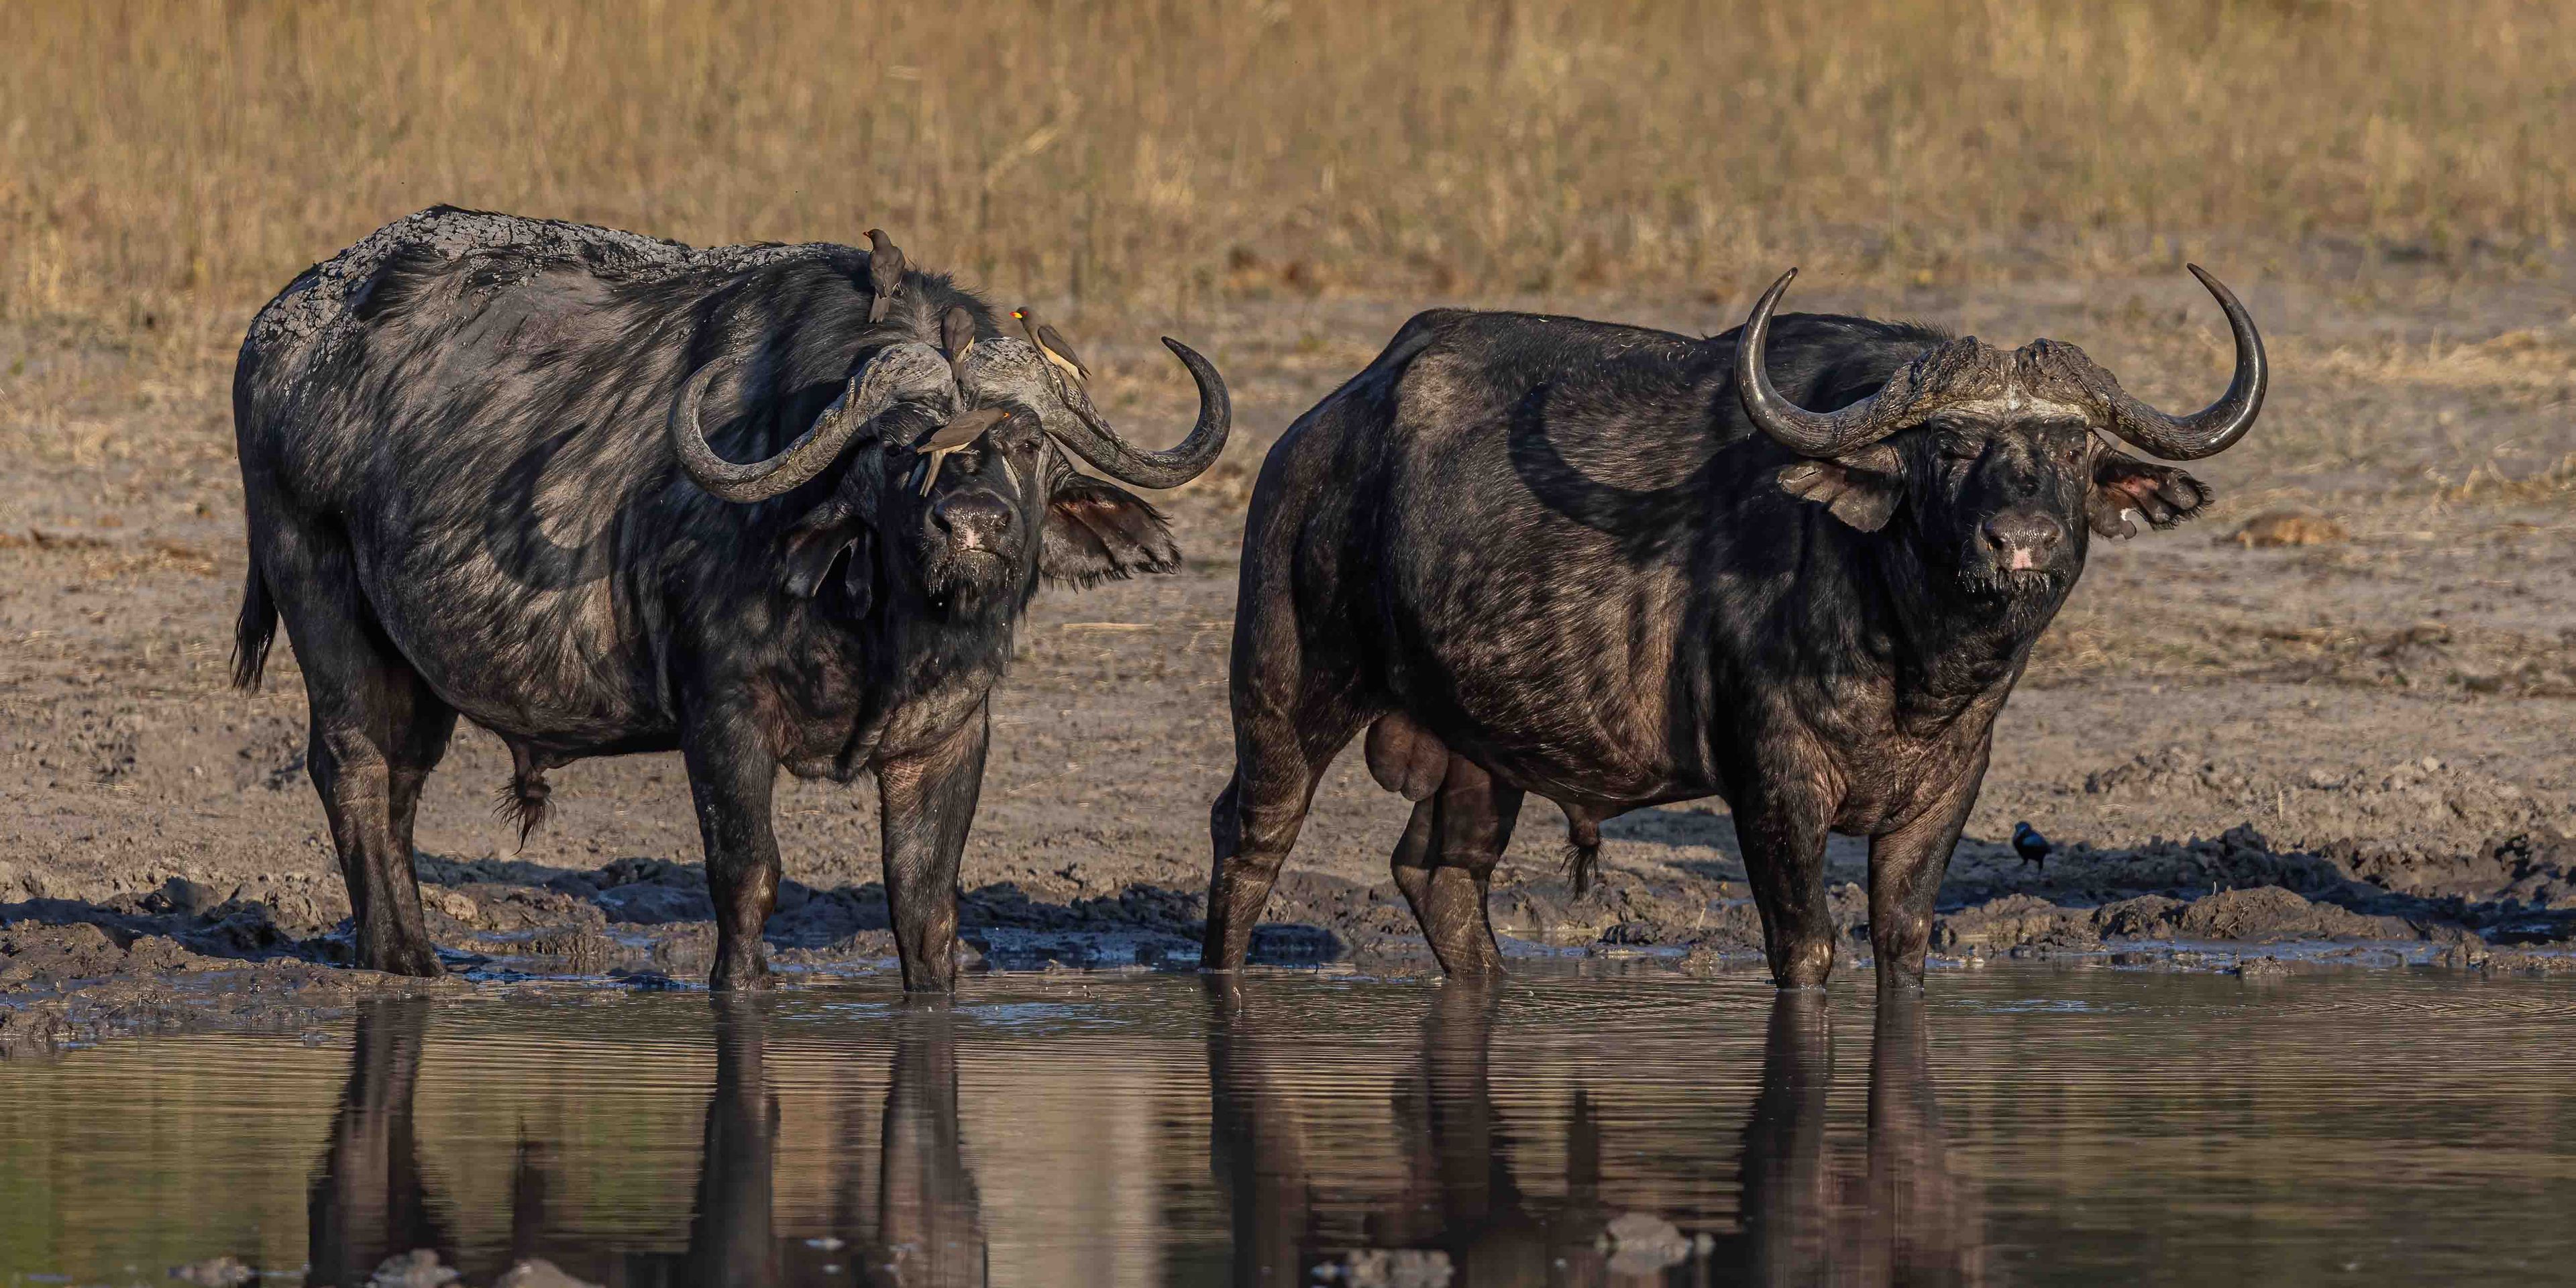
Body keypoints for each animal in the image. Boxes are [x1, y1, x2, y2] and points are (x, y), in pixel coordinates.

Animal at [232, 206, 1229, 990]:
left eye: (1026, 444)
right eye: (899, 446)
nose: (974, 525)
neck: (876, 626)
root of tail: (280, 327)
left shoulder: (950, 733)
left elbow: (925, 900)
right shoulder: (721, 713)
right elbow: (748, 876)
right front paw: (742, 987)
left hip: (419, 664)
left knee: (401, 784)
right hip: (318, 592)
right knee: (355, 769)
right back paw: (404, 957)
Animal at [1206, 267, 2262, 988]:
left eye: (2073, 448)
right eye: (1951, 445)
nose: (2021, 542)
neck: (1911, 655)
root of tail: (1321, 429)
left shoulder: (1948, 790)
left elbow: (1904, 940)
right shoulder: (1773, 786)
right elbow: (1807, 946)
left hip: (1480, 753)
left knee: (1438, 874)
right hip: (1286, 696)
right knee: (1249, 836)